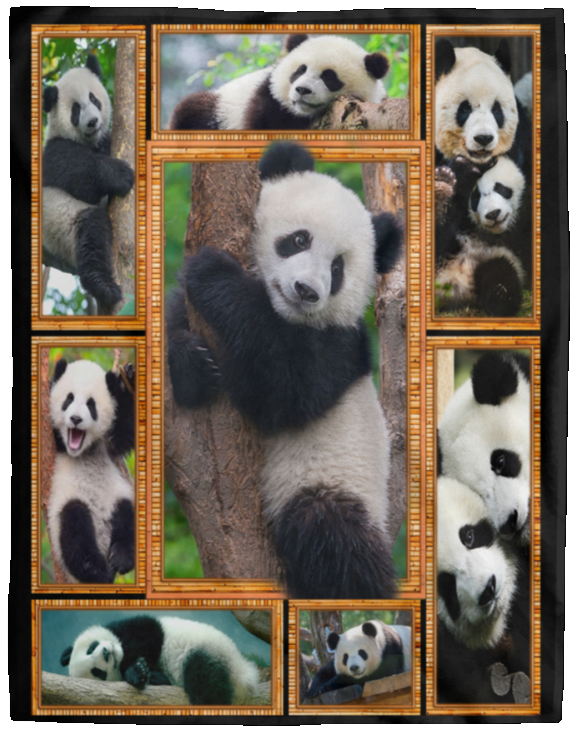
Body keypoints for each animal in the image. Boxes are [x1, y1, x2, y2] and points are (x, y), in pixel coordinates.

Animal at [42, 54, 134, 312]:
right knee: (92, 232)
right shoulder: (54, 153)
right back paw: (104, 287)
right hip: (61, 227)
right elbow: (82, 177)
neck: (89, 141)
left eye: (93, 98)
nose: (93, 122)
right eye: (75, 109)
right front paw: (121, 175)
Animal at [47, 358, 135, 583]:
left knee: (127, 517)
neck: (84, 451)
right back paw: (98, 572)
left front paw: (128, 378)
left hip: (117, 497)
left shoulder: (109, 441)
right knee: (75, 531)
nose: (76, 419)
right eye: (68, 399)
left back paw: (120, 558)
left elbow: (125, 429)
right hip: (67, 505)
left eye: (91, 404)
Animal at [60, 614, 261, 705]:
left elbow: (149, 632)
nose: (106, 653)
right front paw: (141, 673)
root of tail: (242, 673)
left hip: (211, 649)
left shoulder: (133, 626)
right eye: (98, 672)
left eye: (90, 648)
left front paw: (135, 668)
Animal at [166, 142, 403, 599]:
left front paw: (214, 274)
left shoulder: (338, 347)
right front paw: (192, 363)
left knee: (329, 532)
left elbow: (281, 392)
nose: (307, 291)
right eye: (298, 240)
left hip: (334, 483)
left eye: (337, 269)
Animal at [169, 34, 389, 131]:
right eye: (300, 70)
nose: (302, 90)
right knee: (191, 110)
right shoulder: (267, 98)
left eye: (329, 77)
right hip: (220, 110)